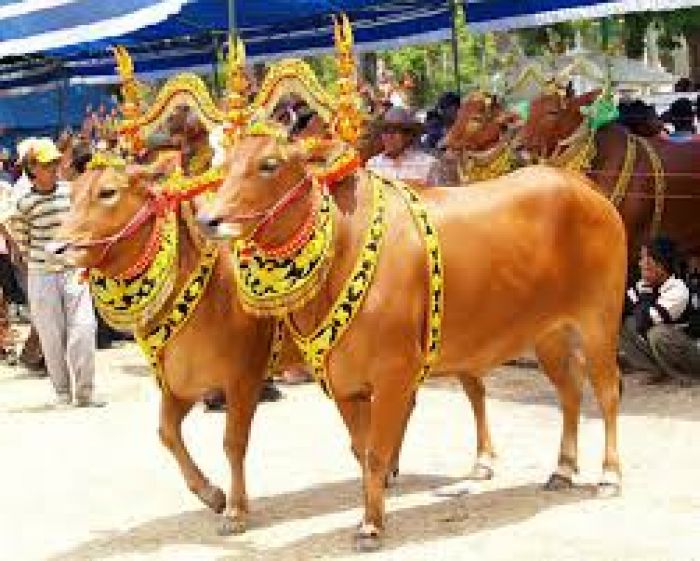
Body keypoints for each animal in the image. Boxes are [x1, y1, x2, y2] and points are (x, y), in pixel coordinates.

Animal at [200, 132, 628, 552]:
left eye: (269, 164)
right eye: (225, 164)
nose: (208, 220)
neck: (343, 246)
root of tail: (582, 184)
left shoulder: (395, 374)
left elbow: (376, 454)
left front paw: (370, 527)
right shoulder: (344, 384)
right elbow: (362, 452)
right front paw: (372, 515)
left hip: (599, 321)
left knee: (607, 393)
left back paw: (609, 476)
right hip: (548, 335)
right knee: (570, 392)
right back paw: (563, 469)